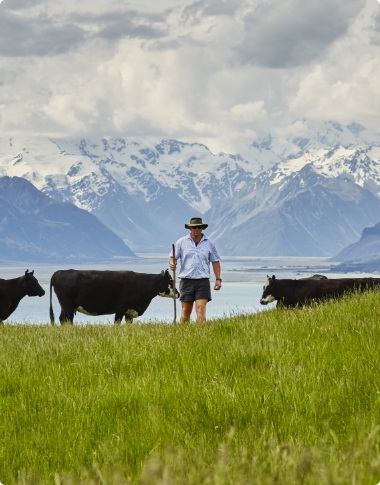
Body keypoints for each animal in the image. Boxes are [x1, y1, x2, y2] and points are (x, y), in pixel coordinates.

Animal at [50, 270, 178, 324]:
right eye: (171, 280)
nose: (178, 293)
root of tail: (59, 272)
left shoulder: (129, 312)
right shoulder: (121, 307)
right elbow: (117, 323)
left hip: (66, 306)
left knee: (62, 319)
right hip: (67, 305)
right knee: (68, 320)